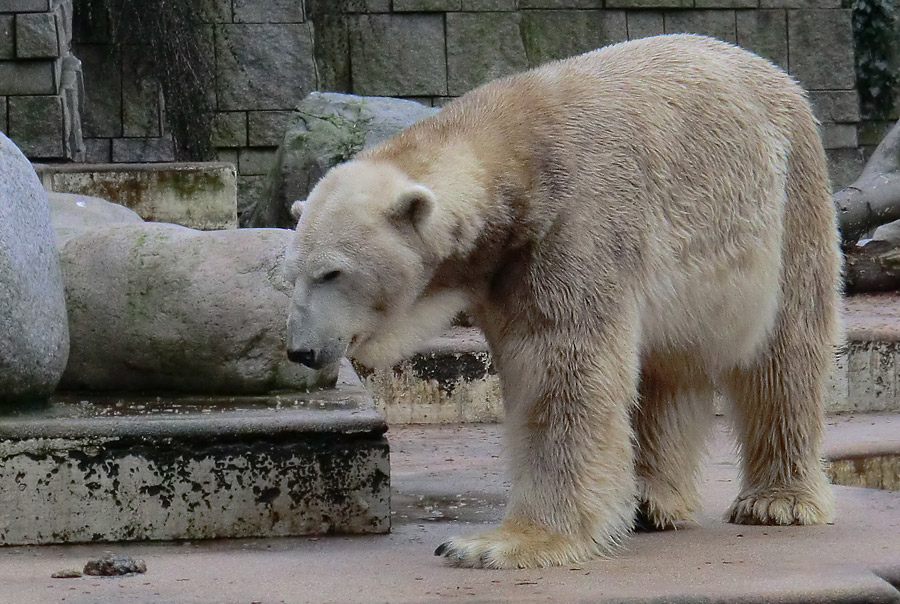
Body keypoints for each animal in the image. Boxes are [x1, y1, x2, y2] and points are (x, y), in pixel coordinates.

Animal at [284, 35, 844, 568]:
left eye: (332, 271)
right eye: (292, 274)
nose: (301, 350)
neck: (513, 153)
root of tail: (776, 74)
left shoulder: (576, 223)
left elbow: (563, 371)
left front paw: (496, 544)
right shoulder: (502, 270)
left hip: (789, 198)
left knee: (784, 351)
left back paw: (776, 501)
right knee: (663, 369)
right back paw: (648, 502)